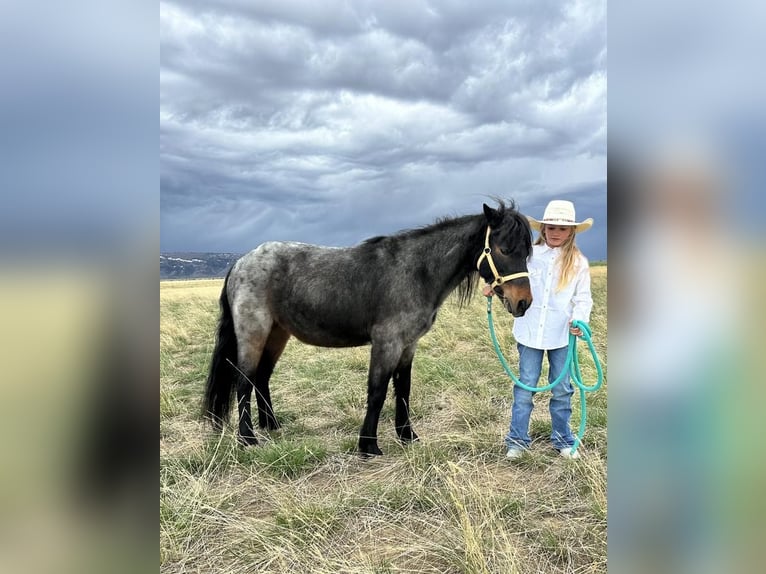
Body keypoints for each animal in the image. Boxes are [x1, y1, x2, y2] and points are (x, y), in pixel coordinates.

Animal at [204, 200, 536, 456]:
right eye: (504, 249)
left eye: (526, 251)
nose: (523, 302)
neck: (417, 271)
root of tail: (241, 262)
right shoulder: (387, 343)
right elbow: (377, 391)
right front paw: (369, 445)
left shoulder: (408, 345)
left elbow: (403, 390)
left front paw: (407, 436)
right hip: (254, 333)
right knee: (244, 380)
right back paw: (248, 438)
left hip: (277, 333)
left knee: (261, 377)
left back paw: (271, 426)